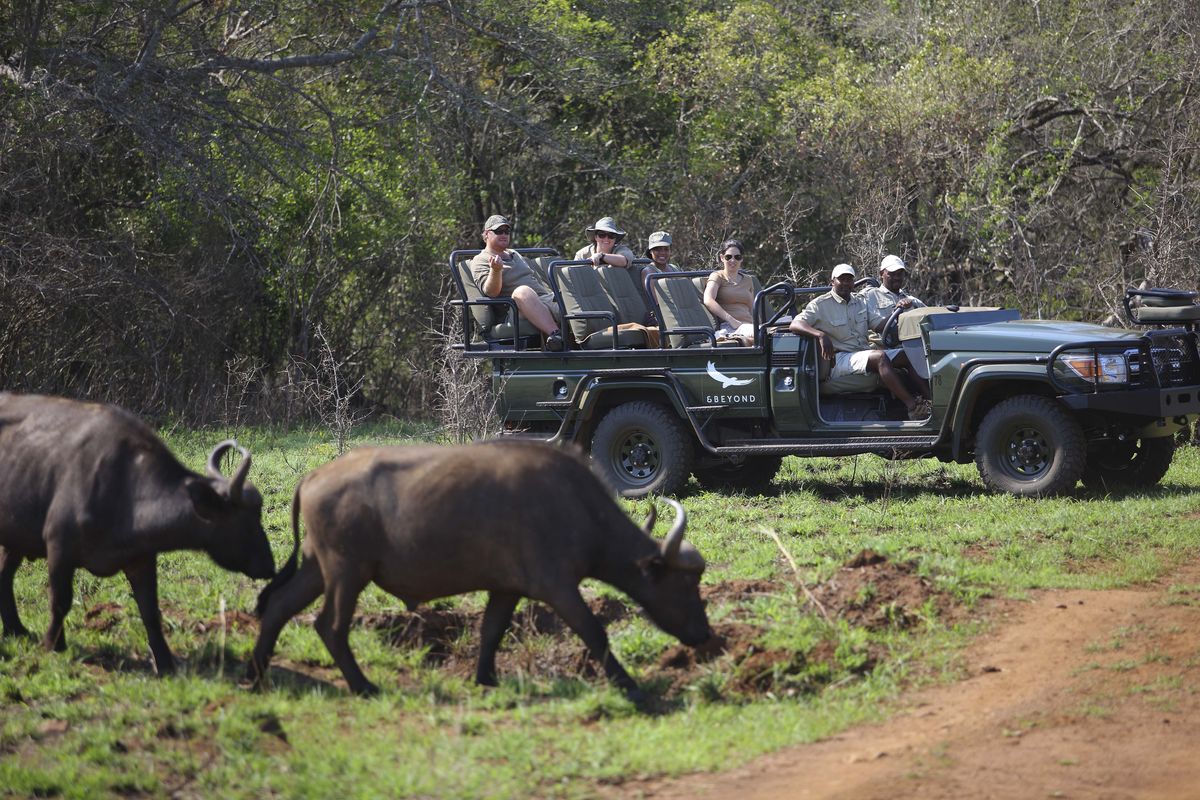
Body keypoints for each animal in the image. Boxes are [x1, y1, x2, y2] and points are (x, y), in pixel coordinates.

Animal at [0, 393, 274, 676]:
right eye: (246, 521)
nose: (269, 565)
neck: (125, 490)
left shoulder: (141, 560)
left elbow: (150, 611)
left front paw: (165, 661)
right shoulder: (59, 549)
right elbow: (60, 601)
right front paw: (54, 644)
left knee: (4, 575)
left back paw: (16, 629)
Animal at [247, 441, 705, 695]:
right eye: (685, 585)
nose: (706, 635)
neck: (576, 506)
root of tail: (312, 479)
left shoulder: (507, 588)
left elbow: (491, 631)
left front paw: (485, 678)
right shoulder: (558, 587)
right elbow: (595, 632)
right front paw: (631, 687)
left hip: (316, 568)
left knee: (279, 607)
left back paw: (255, 676)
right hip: (347, 572)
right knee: (330, 626)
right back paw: (362, 686)